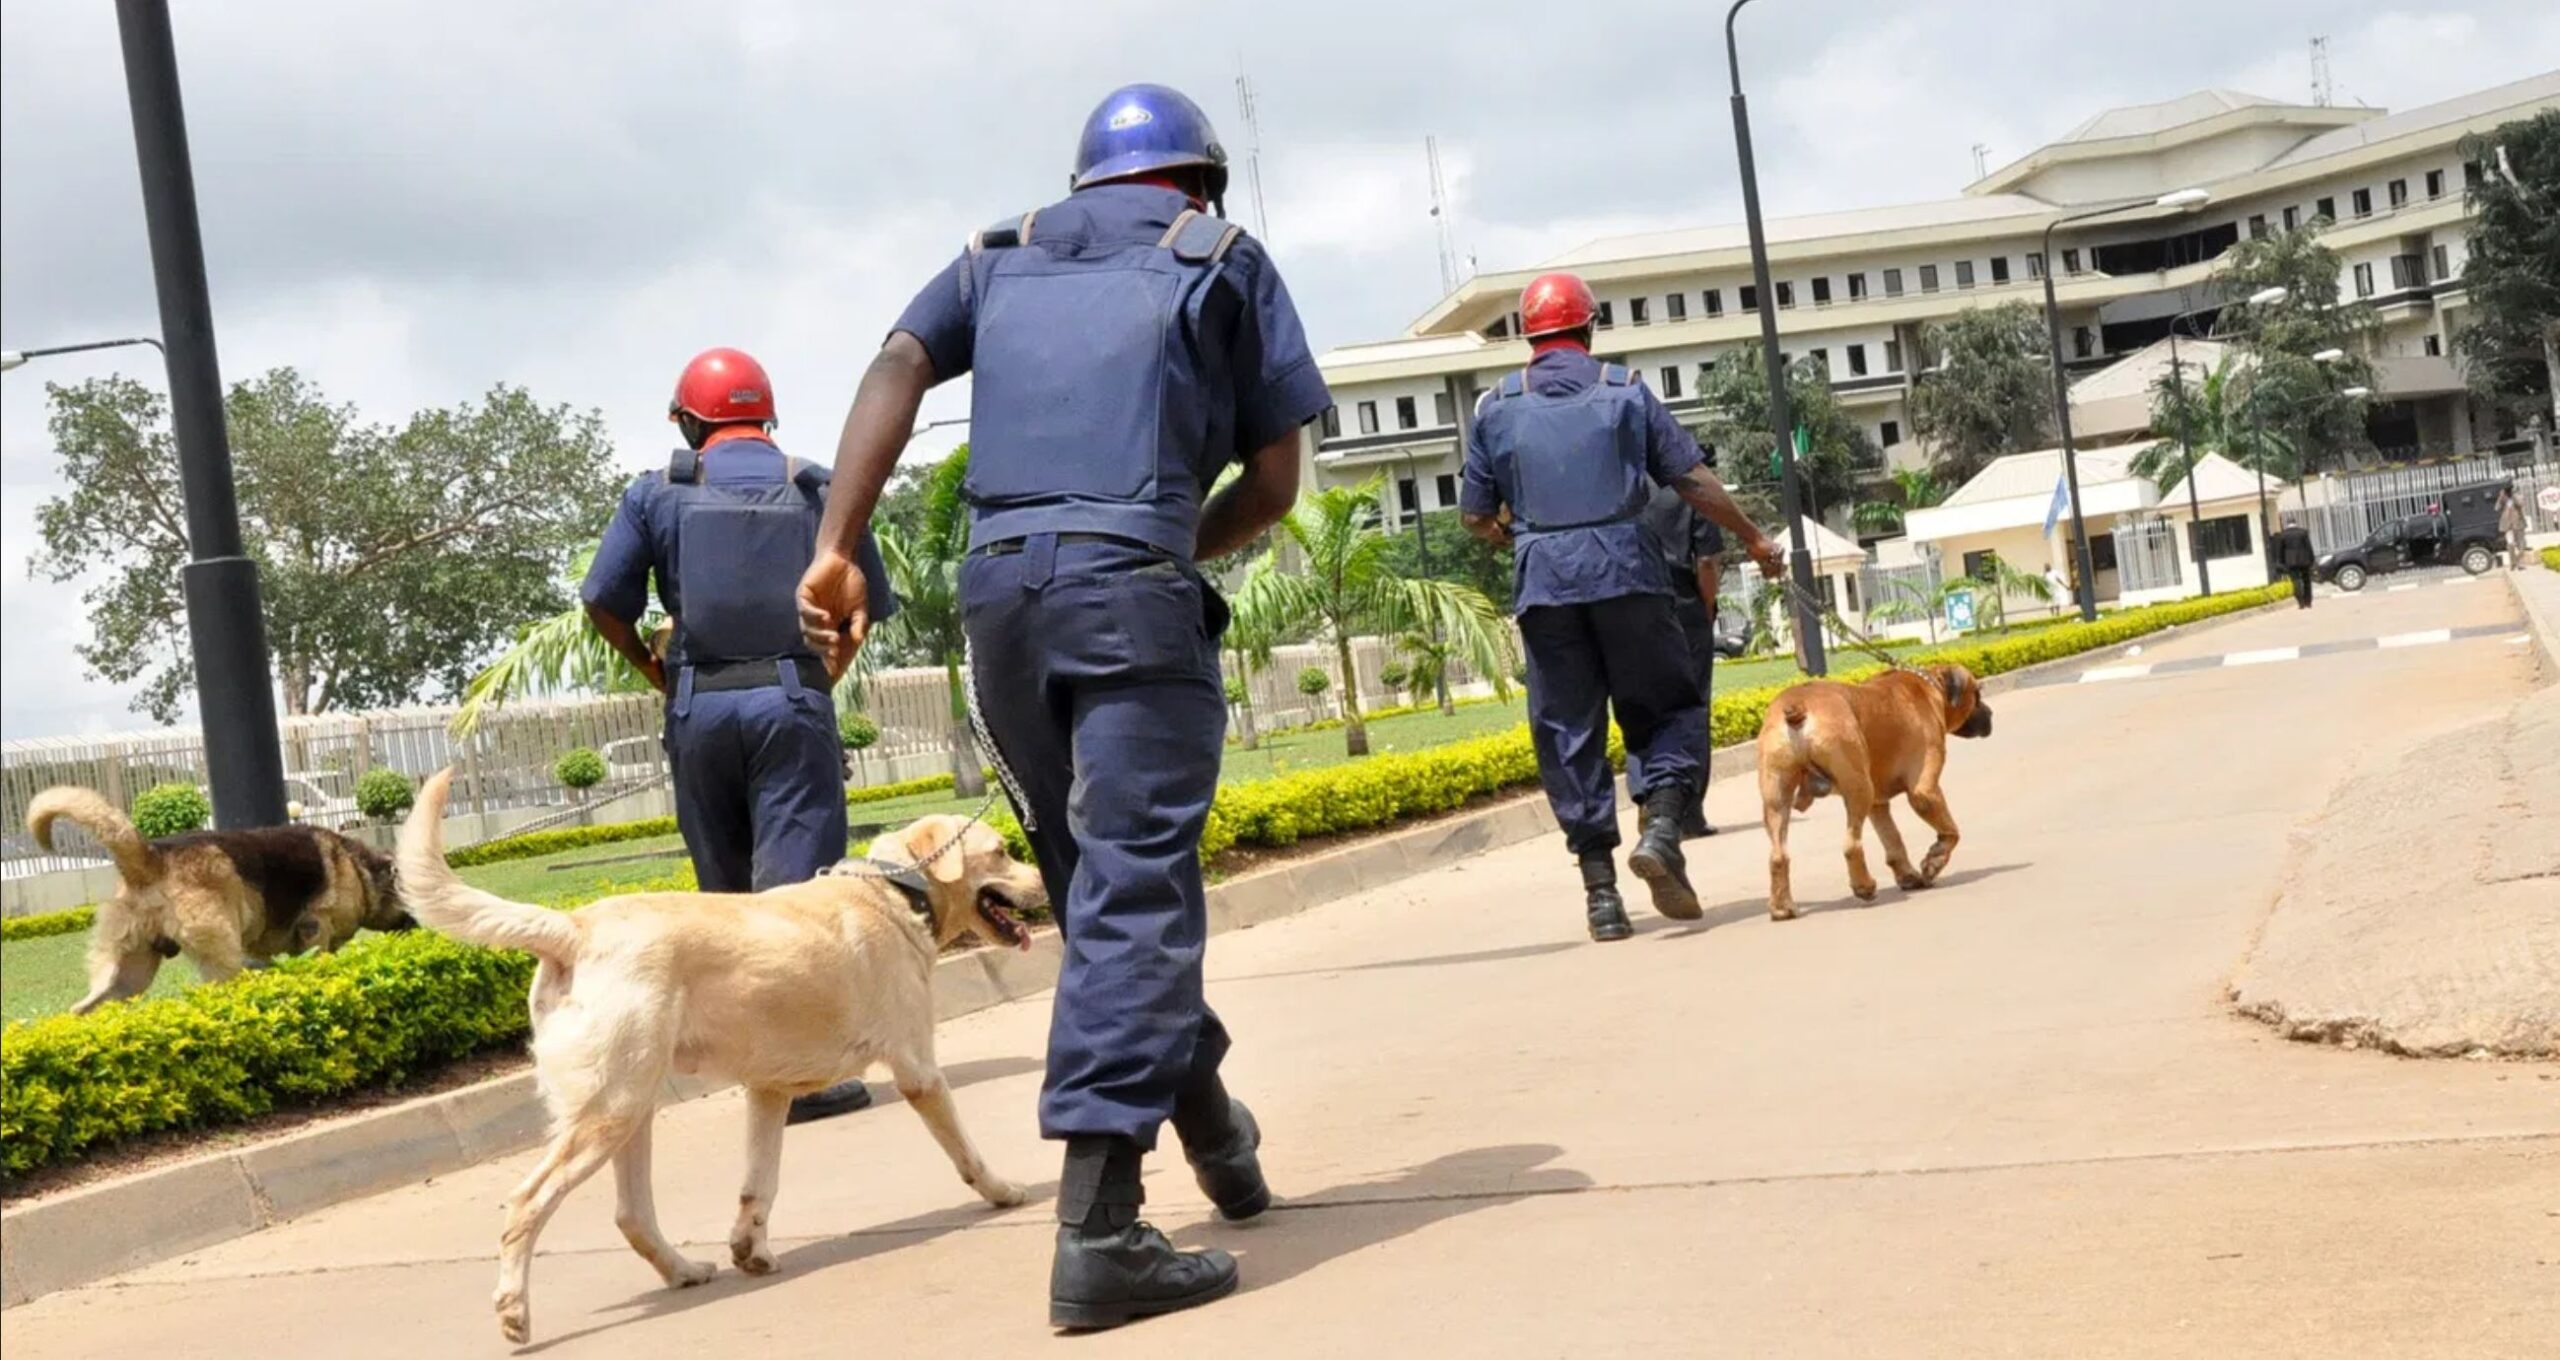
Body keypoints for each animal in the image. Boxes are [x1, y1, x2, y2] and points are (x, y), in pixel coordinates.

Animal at [28, 788, 414, 1009]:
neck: (360, 869)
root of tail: (151, 859)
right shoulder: (316, 929)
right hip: (220, 955)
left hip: (127, 973)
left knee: (84, 1008)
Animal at [399, 773, 1039, 1342]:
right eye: (1001, 852)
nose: (1041, 878)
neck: (893, 889)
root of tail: (574, 926)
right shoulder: (918, 1070)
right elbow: (966, 1151)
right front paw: (1002, 1191)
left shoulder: (769, 1091)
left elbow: (760, 1184)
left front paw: (749, 1249)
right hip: (610, 1108)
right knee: (527, 1202)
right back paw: (514, 1311)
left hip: (631, 1106)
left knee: (631, 1216)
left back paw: (684, 1270)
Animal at [1751, 665, 1986, 922]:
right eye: (1977, 694)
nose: (1990, 714)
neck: (1930, 686)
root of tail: (1798, 705)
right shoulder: (1924, 791)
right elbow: (1950, 832)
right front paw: (1935, 861)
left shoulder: (1878, 803)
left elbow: (1893, 839)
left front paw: (1908, 876)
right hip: (1858, 788)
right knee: (1851, 845)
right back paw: (1864, 886)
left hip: (1777, 799)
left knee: (1778, 855)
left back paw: (1781, 907)